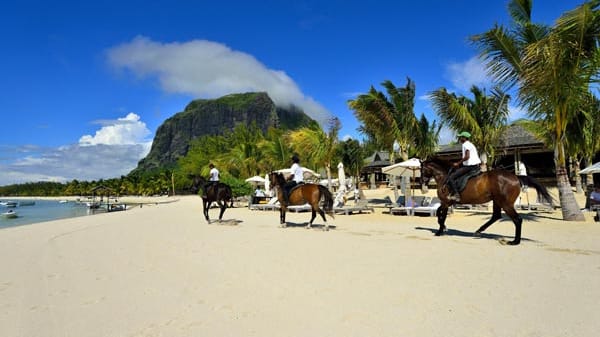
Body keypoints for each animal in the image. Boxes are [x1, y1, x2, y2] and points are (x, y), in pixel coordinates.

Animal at [420, 158, 552, 244]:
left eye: (421, 170)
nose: (422, 183)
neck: (444, 177)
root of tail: (515, 176)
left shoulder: (446, 202)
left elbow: (441, 215)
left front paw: (440, 230)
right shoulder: (447, 203)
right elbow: (439, 214)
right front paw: (443, 228)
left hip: (506, 204)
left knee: (517, 219)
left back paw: (515, 241)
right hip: (497, 201)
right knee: (496, 216)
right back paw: (479, 231)